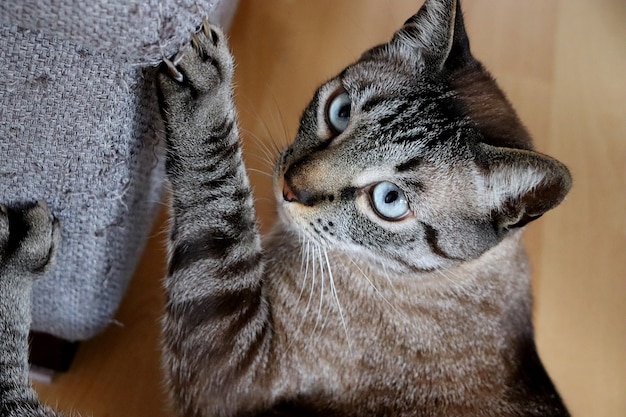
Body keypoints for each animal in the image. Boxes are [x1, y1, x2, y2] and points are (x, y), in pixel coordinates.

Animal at [0, 0, 572, 414]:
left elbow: (220, 193)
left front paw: (204, 88)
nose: (291, 188)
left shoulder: (232, 368)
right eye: (339, 112)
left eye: (389, 201)